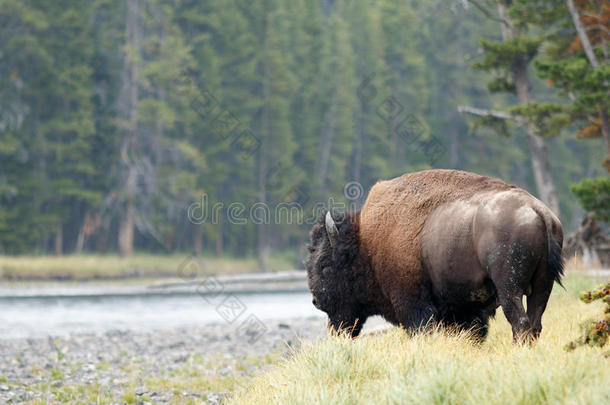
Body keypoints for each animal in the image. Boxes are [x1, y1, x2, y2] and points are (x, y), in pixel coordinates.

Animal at [304, 169, 560, 342]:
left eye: (325, 266)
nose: (316, 301)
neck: (367, 242)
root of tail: (540, 211)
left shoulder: (413, 305)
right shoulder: (465, 309)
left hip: (509, 287)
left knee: (520, 321)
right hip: (542, 285)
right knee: (535, 322)